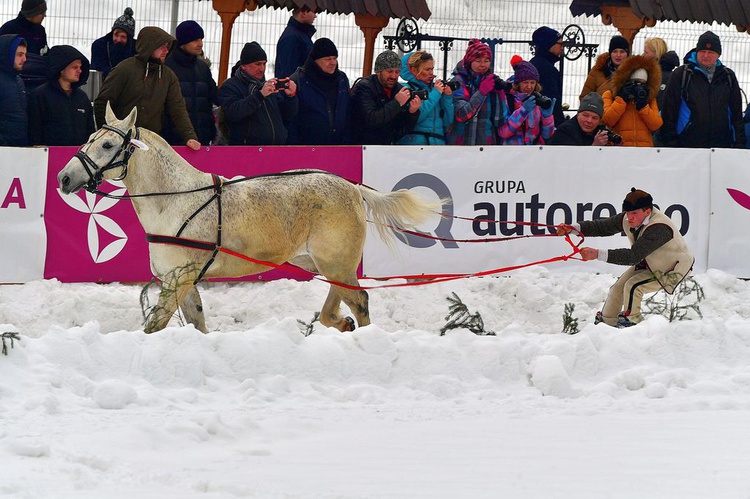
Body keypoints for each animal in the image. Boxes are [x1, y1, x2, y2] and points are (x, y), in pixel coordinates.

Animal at [57, 103, 440, 334]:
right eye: (90, 138)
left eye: (108, 146)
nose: (64, 178)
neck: (174, 200)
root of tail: (352, 187)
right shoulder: (183, 280)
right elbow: (197, 321)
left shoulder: (180, 278)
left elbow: (156, 326)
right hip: (322, 261)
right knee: (341, 298)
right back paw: (340, 323)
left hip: (336, 260)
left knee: (359, 300)